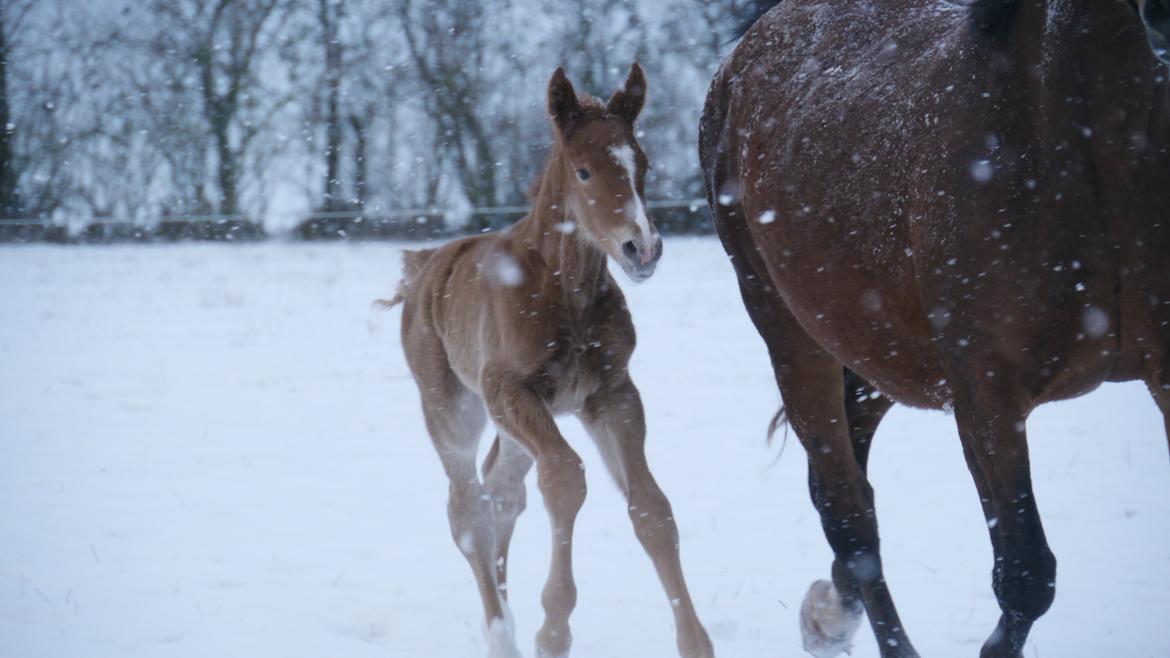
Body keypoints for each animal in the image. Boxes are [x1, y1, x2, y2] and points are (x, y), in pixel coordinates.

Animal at [383, 65, 711, 655]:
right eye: (583, 170)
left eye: (643, 165)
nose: (642, 249)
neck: (565, 289)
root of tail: (424, 267)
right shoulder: (510, 389)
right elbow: (564, 479)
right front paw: (553, 630)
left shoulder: (612, 393)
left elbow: (651, 507)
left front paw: (696, 643)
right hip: (453, 410)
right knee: (469, 509)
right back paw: (502, 634)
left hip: (514, 423)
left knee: (501, 492)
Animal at [697, 1, 1165, 655]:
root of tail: (735, 65)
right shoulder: (987, 394)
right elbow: (1025, 574)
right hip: (790, 334)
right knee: (849, 515)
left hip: (880, 355)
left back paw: (828, 615)